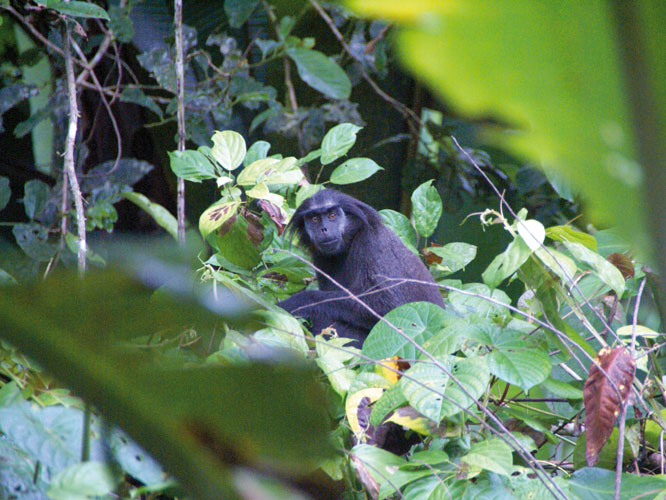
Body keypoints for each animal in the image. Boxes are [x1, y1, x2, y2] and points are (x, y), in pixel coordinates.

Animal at [278, 189, 444, 346]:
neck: (351, 239)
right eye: (314, 219)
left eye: (332, 216)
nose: (324, 229)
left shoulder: (372, 242)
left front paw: (296, 302)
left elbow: (387, 308)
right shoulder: (321, 257)